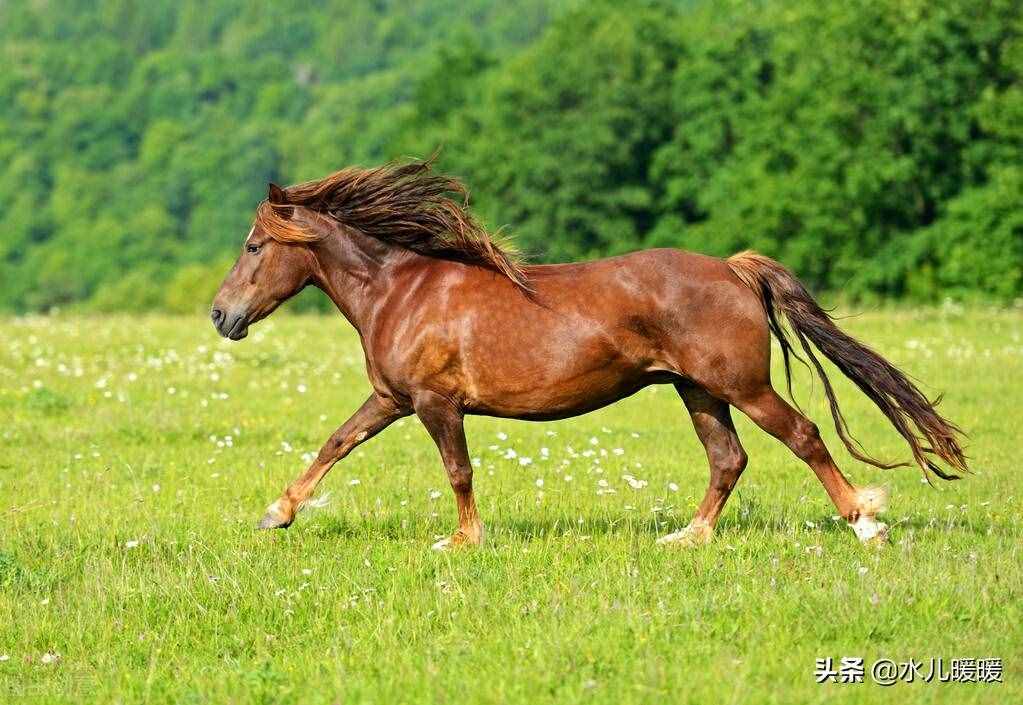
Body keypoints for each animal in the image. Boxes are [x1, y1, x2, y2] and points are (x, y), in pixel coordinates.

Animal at [209, 158, 965, 544]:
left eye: (253, 245)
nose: (221, 315)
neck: (400, 290)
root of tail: (732, 268)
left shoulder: (433, 403)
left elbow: (458, 472)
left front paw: (463, 540)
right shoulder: (393, 399)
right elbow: (337, 442)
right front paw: (277, 513)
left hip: (741, 386)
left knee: (802, 436)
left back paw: (864, 522)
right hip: (697, 390)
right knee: (728, 458)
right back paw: (687, 537)